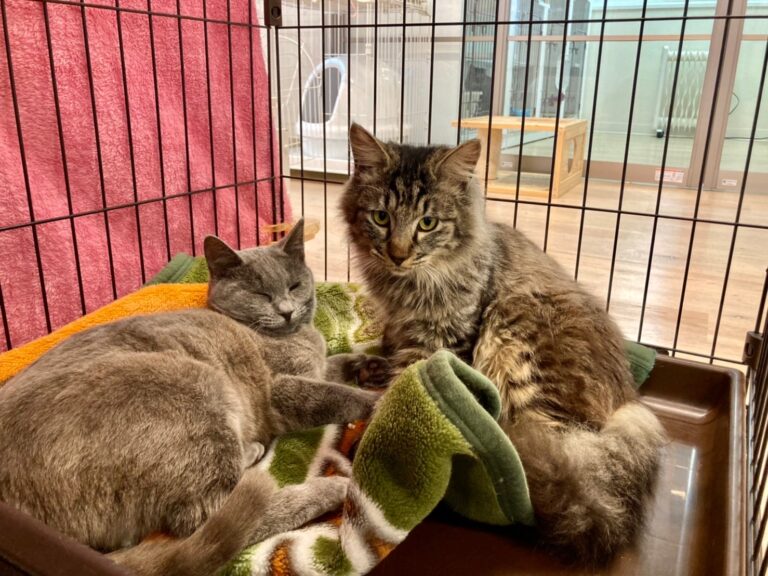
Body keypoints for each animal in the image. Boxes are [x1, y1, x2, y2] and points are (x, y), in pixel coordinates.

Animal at [0, 219, 385, 576]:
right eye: (260, 293)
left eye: (294, 284)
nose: (287, 310)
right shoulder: (282, 388)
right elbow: (337, 394)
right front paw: (378, 403)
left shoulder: (315, 366)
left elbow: (335, 365)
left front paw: (373, 368)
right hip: (196, 385)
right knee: (208, 518)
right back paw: (327, 487)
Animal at [341, 124, 667, 566]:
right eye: (381, 217)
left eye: (427, 223)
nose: (398, 255)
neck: (407, 286)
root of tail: (630, 401)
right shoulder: (401, 328)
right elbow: (390, 353)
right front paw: (372, 368)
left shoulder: (442, 339)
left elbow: (399, 391)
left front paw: (370, 440)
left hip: (515, 332)